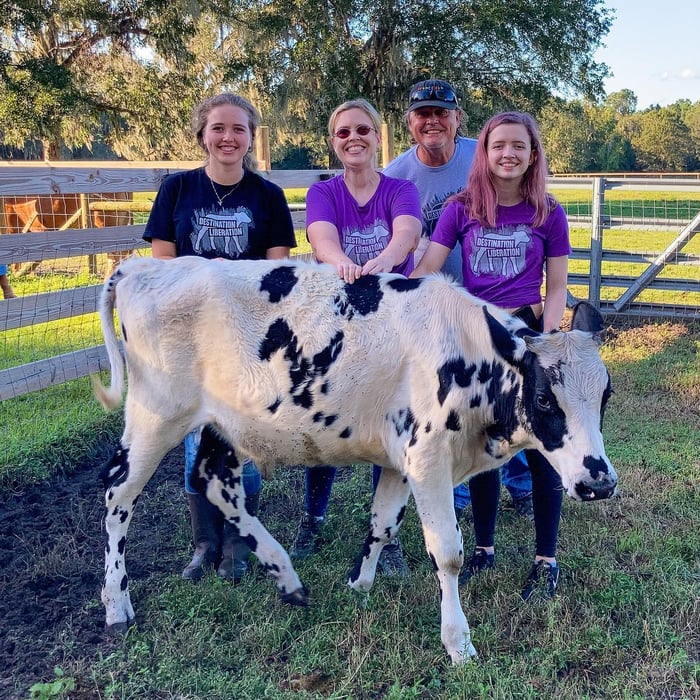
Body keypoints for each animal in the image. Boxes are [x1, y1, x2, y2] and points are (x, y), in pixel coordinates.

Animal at [93, 256, 616, 660]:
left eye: (605, 395)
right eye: (545, 399)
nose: (599, 481)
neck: (465, 353)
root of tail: (144, 265)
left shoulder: (401, 459)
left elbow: (382, 524)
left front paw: (359, 584)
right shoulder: (428, 459)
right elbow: (447, 554)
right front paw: (458, 643)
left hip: (222, 425)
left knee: (214, 482)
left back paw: (286, 575)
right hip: (156, 415)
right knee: (119, 493)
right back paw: (116, 603)